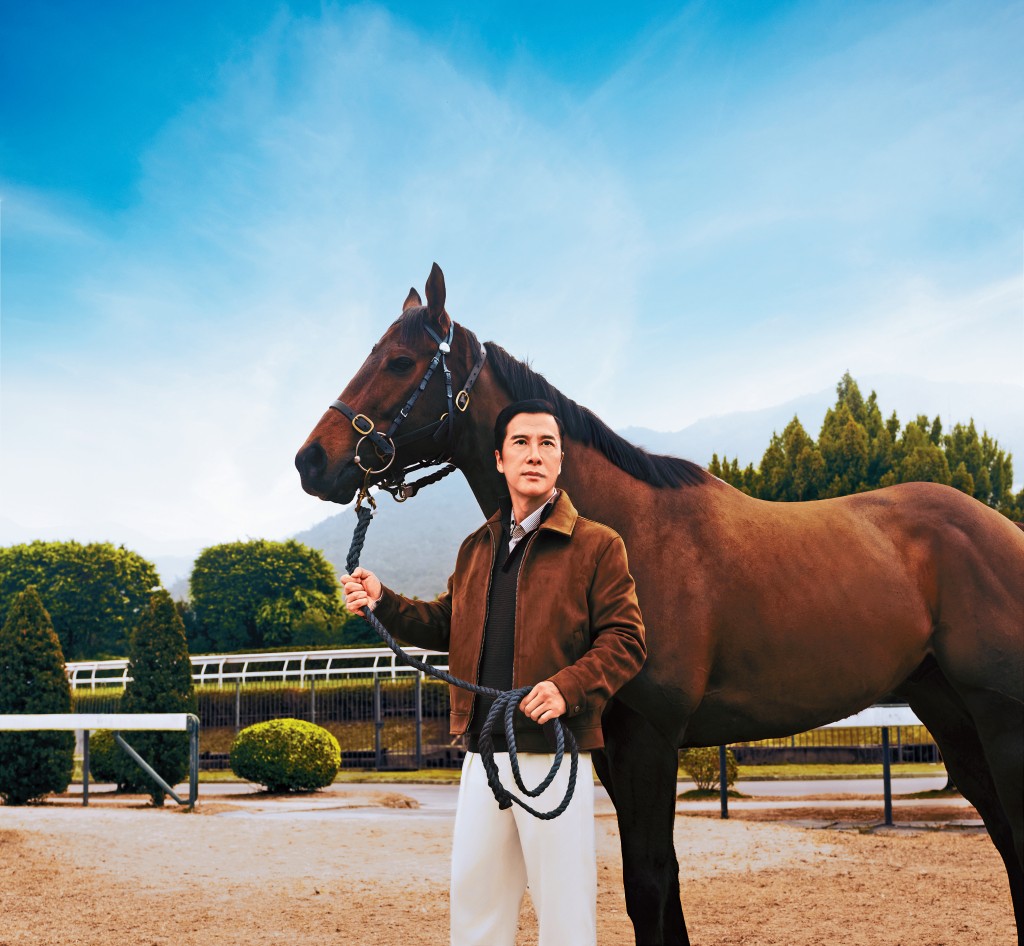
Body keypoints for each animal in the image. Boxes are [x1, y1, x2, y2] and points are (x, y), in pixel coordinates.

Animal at [295, 264, 1024, 945]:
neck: (627, 532)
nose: (311, 461)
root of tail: (1001, 530)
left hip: (997, 715)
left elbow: (648, 884)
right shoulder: (611, 747)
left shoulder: (649, 738)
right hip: (949, 712)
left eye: (399, 361)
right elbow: (660, 887)